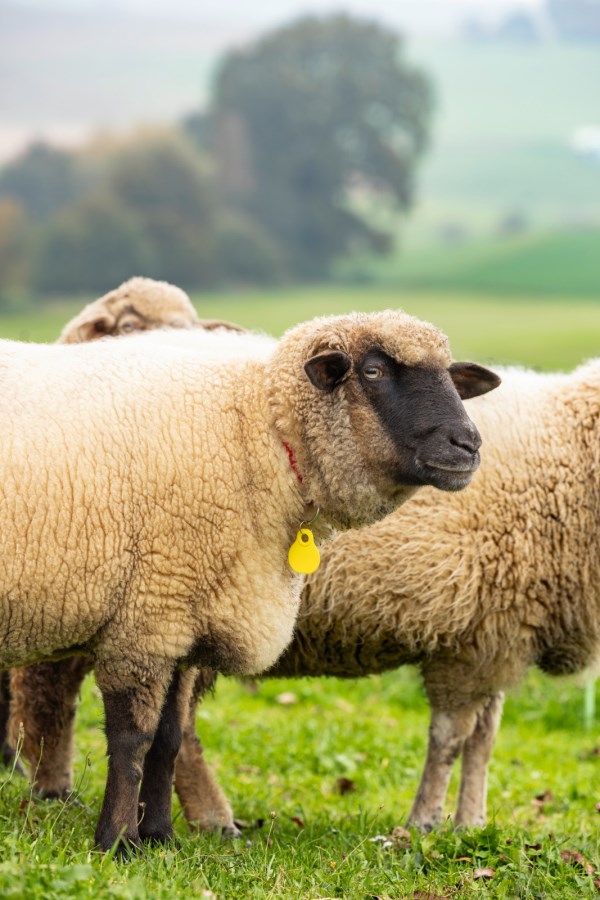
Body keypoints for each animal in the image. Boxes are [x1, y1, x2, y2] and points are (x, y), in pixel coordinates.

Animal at [0, 309, 498, 851]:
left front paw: (160, 839)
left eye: (450, 376)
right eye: (373, 371)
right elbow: (133, 739)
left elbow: (167, 739)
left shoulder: (184, 616)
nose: (469, 444)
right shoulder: (146, 619)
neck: (253, 435)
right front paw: (116, 842)